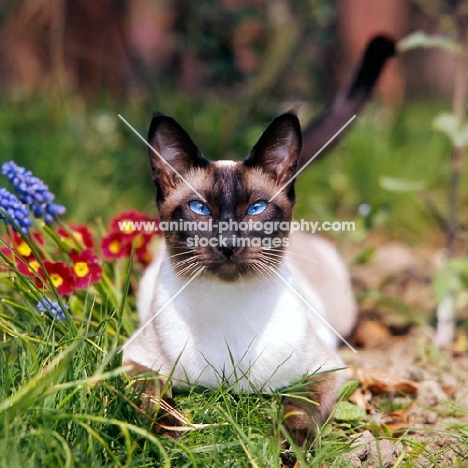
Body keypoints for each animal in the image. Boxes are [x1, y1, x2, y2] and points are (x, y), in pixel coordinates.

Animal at [122, 35, 394, 446]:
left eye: (256, 208)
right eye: (200, 208)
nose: (229, 243)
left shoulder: (325, 369)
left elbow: (299, 406)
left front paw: (294, 447)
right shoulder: (133, 362)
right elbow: (153, 401)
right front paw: (169, 438)